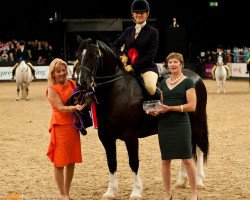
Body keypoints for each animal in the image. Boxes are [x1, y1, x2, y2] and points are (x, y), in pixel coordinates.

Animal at [74, 35, 209, 199]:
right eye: (77, 56)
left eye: (94, 56)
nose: (81, 84)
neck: (115, 91)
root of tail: (196, 77)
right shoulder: (106, 136)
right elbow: (111, 162)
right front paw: (110, 191)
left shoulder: (130, 135)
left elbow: (133, 161)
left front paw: (136, 191)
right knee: (188, 149)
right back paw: (181, 181)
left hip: (197, 123)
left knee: (200, 148)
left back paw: (200, 181)